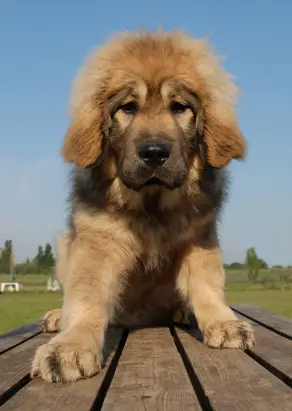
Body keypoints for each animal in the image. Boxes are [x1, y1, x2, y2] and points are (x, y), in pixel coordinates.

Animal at [31, 29, 253, 384]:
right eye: (128, 108)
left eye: (179, 107)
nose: (154, 153)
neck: (152, 204)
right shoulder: (96, 242)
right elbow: (85, 298)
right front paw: (69, 347)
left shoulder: (199, 237)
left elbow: (207, 285)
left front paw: (224, 322)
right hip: (66, 244)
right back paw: (56, 316)